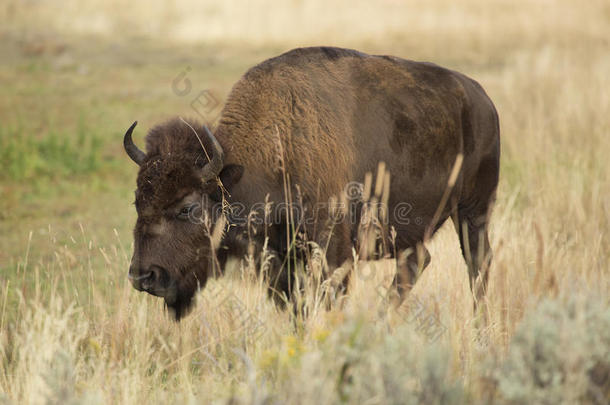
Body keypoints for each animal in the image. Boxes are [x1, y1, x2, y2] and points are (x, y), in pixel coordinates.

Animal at [123, 46, 498, 318]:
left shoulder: (335, 253)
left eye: (187, 207)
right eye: (138, 201)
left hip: (473, 211)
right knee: (416, 263)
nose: (143, 276)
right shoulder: (280, 263)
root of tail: (482, 99)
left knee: (477, 266)